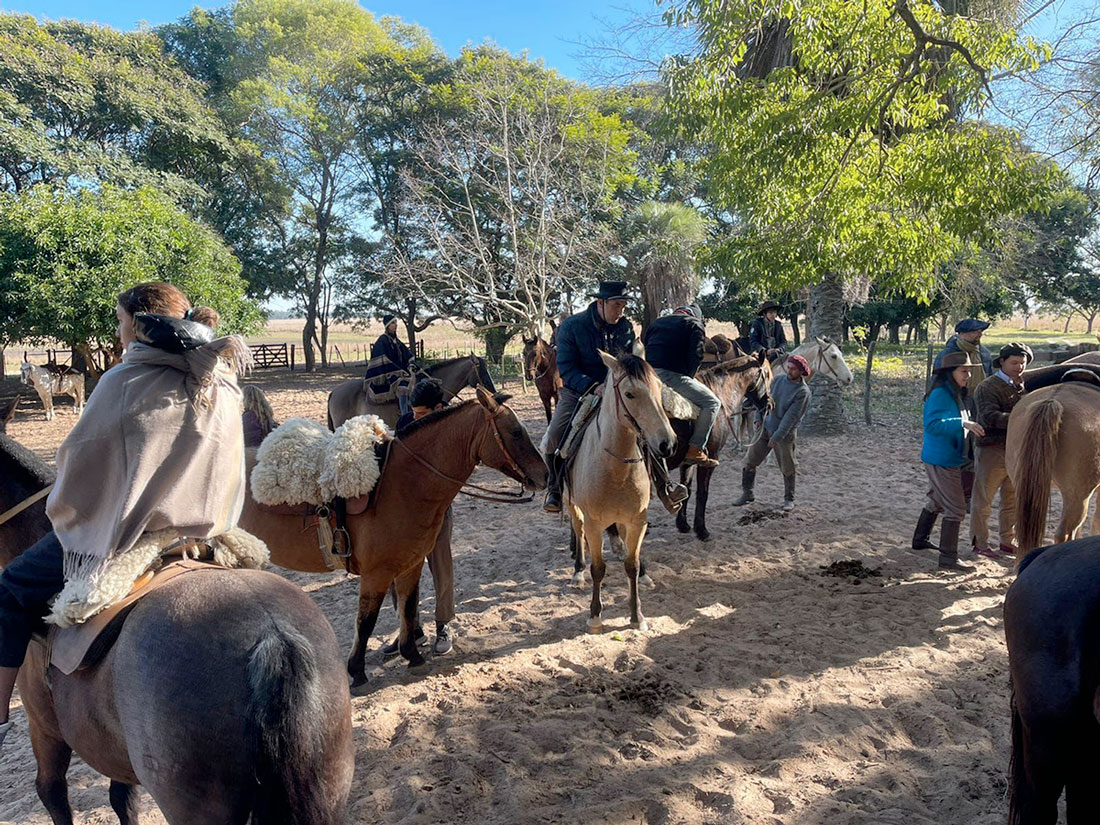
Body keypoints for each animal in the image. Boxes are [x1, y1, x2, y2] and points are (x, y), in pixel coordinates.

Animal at [242, 389, 550, 690]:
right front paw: (357, 672)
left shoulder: (410, 565)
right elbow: (366, 621)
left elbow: (408, 608)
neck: (401, 484)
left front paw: (411, 654)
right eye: (515, 432)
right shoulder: (376, 574)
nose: (545, 475)